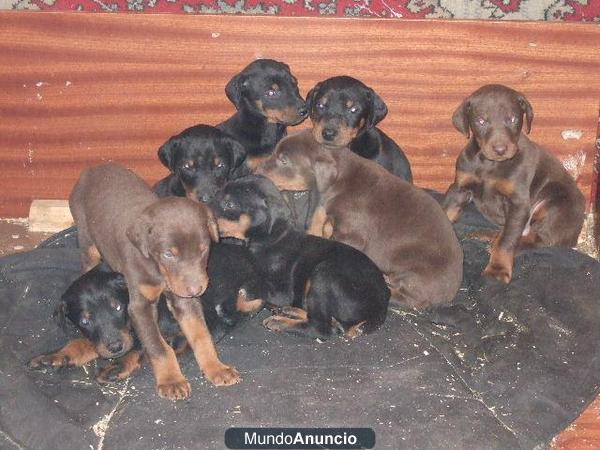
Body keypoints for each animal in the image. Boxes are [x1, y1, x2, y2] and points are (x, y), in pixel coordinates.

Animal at [70, 163, 239, 400]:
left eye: (204, 249)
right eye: (168, 254)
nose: (197, 289)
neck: (158, 270)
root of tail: (95, 167)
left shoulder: (183, 298)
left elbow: (201, 334)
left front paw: (216, 368)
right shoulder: (139, 306)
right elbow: (158, 346)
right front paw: (171, 380)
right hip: (87, 240)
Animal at [210, 175, 390, 338]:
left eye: (229, 204)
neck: (271, 238)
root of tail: (380, 309)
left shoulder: (282, 291)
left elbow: (249, 289)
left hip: (324, 274)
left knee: (321, 328)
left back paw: (280, 321)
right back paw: (289, 311)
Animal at [255, 130, 462, 310]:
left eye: (283, 160)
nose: (256, 171)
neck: (340, 179)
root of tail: (451, 293)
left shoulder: (352, 235)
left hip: (412, 273)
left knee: (412, 299)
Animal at [440, 84, 584, 282]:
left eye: (513, 119)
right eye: (481, 121)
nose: (500, 150)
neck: (489, 164)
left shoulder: (518, 203)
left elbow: (507, 241)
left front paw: (498, 269)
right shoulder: (459, 188)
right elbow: (445, 213)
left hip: (555, 204)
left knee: (538, 239)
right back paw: (488, 236)